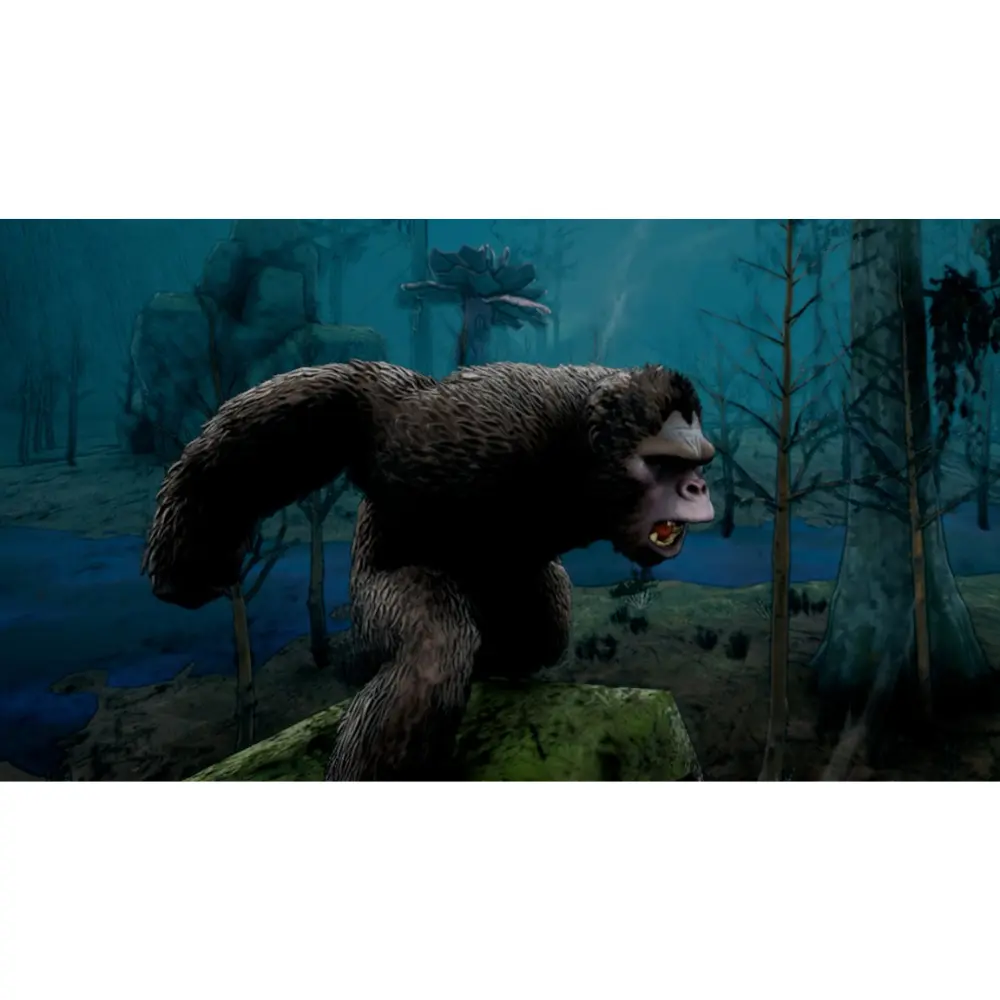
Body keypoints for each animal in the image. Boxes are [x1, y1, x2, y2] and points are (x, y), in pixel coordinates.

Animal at [142, 360, 716, 780]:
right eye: (666, 462)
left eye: (698, 462)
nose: (699, 486)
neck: (579, 461)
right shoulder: (464, 429)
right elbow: (348, 402)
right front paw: (188, 554)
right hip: (373, 597)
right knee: (433, 651)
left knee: (543, 626)